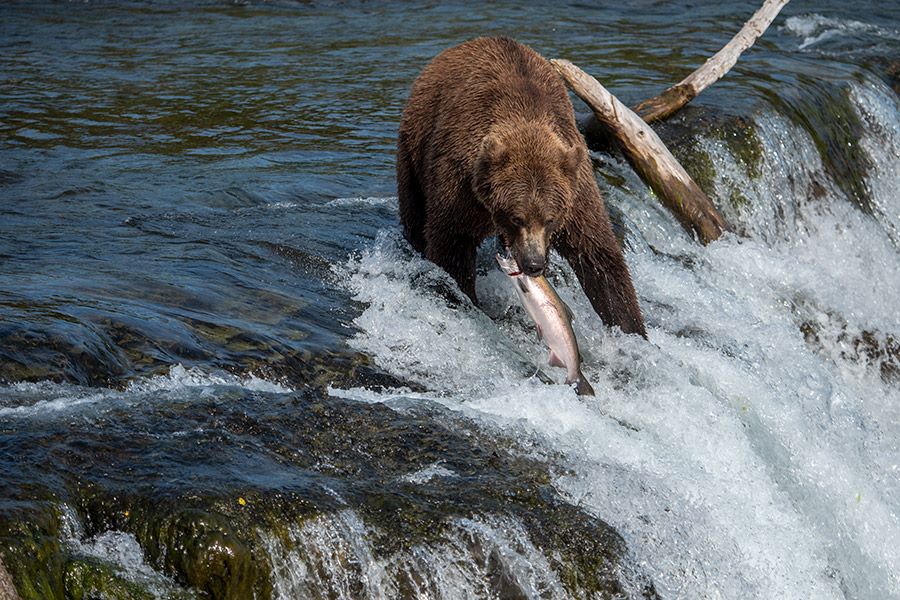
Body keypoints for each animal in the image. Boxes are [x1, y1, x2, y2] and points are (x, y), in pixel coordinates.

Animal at [398, 37, 644, 338]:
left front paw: (631, 328)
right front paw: (463, 298)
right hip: (414, 147)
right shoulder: (460, 185)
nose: (534, 264)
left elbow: (598, 253)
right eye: (517, 217)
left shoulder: (575, 190)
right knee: (414, 211)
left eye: (550, 219)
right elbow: (451, 244)